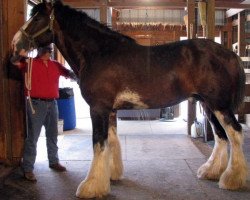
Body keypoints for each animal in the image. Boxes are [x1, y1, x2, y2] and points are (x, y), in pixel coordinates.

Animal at [10, 0, 247, 198]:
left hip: (219, 105)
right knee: (221, 136)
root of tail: (230, 54)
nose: (14, 46)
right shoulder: (110, 110)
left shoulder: (98, 108)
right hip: (208, 104)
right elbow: (111, 141)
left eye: (37, 18)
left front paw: (90, 187)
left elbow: (98, 143)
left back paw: (232, 179)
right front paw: (111, 176)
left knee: (235, 133)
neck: (98, 53)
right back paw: (211, 171)